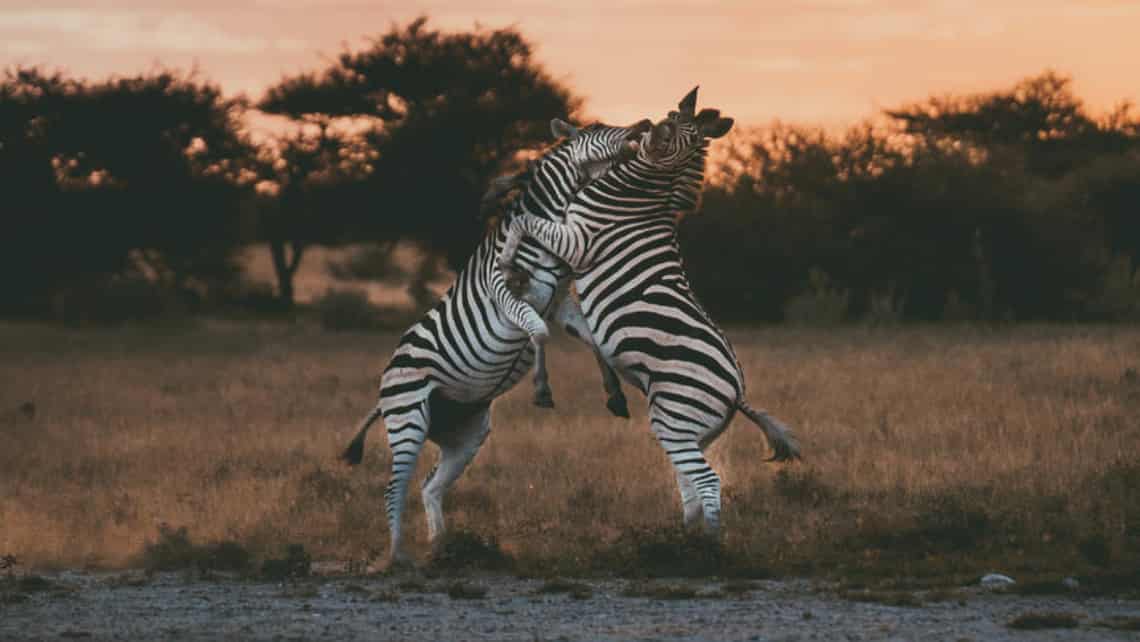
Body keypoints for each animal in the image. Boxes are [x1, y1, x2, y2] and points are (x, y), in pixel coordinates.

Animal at [339, 116, 652, 567]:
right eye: (597, 128)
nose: (644, 123)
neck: (547, 230)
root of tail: (384, 387)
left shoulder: (559, 301)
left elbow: (593, 340)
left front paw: (614, 393)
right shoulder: (507, 294)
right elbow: (537, 332)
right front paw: (542, 389)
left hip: (466, 433)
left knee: (430, 486)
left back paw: (443, 548)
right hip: (407, 418)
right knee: (393, 489)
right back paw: (398, 558)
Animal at [499, 86, 802, 538]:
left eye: (679, 136)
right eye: (673, 120)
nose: (653, 130)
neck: (640, 190)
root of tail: (737, 392)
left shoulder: (578, 239)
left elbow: (525, 221)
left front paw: (505, 257)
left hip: (675, 417)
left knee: (707, 481)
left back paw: (708, 544)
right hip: (687, 428)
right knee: (691, 483)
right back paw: (683, 538)